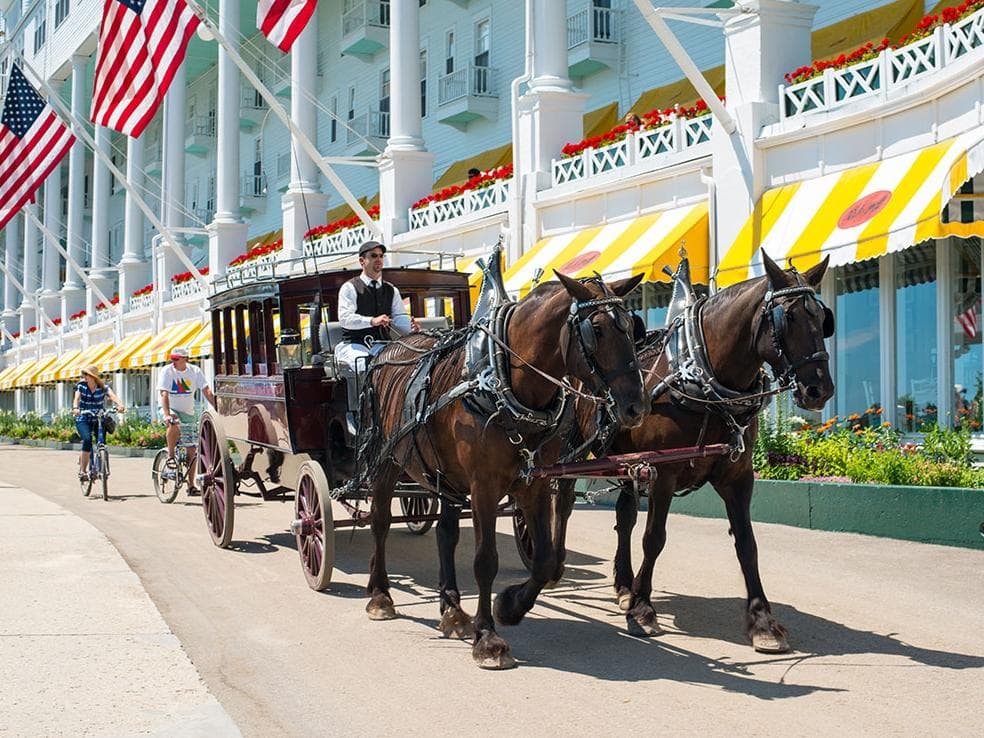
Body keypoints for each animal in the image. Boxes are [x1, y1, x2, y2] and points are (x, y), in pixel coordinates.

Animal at [360, 270, 644, 668]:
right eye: (597, 329)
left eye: (631, 328)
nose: (637, 406)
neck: (503, 383)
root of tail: (388, 348)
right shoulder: (484, 486)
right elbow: (486, 560)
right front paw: (488, 638)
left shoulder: (535, 483)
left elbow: (543, 559)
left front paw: (510, 605)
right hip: (387, 462)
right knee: (380, 522)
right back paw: (380, 595)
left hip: (445, 475)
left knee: (446, 533)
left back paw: (452, 610)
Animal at [552, 252, 832, 648]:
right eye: (788, 317)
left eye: (822, 319)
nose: (819, 389)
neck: (701, 378)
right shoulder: (663, 473)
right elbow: (654, 538)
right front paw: (642, 609)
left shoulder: (737, 475)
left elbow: (746, 542)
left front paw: (762, 621)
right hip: (576, 446)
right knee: (562, 500)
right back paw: (555, 565)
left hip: (627, 461)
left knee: (624, 515)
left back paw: (623, 584)